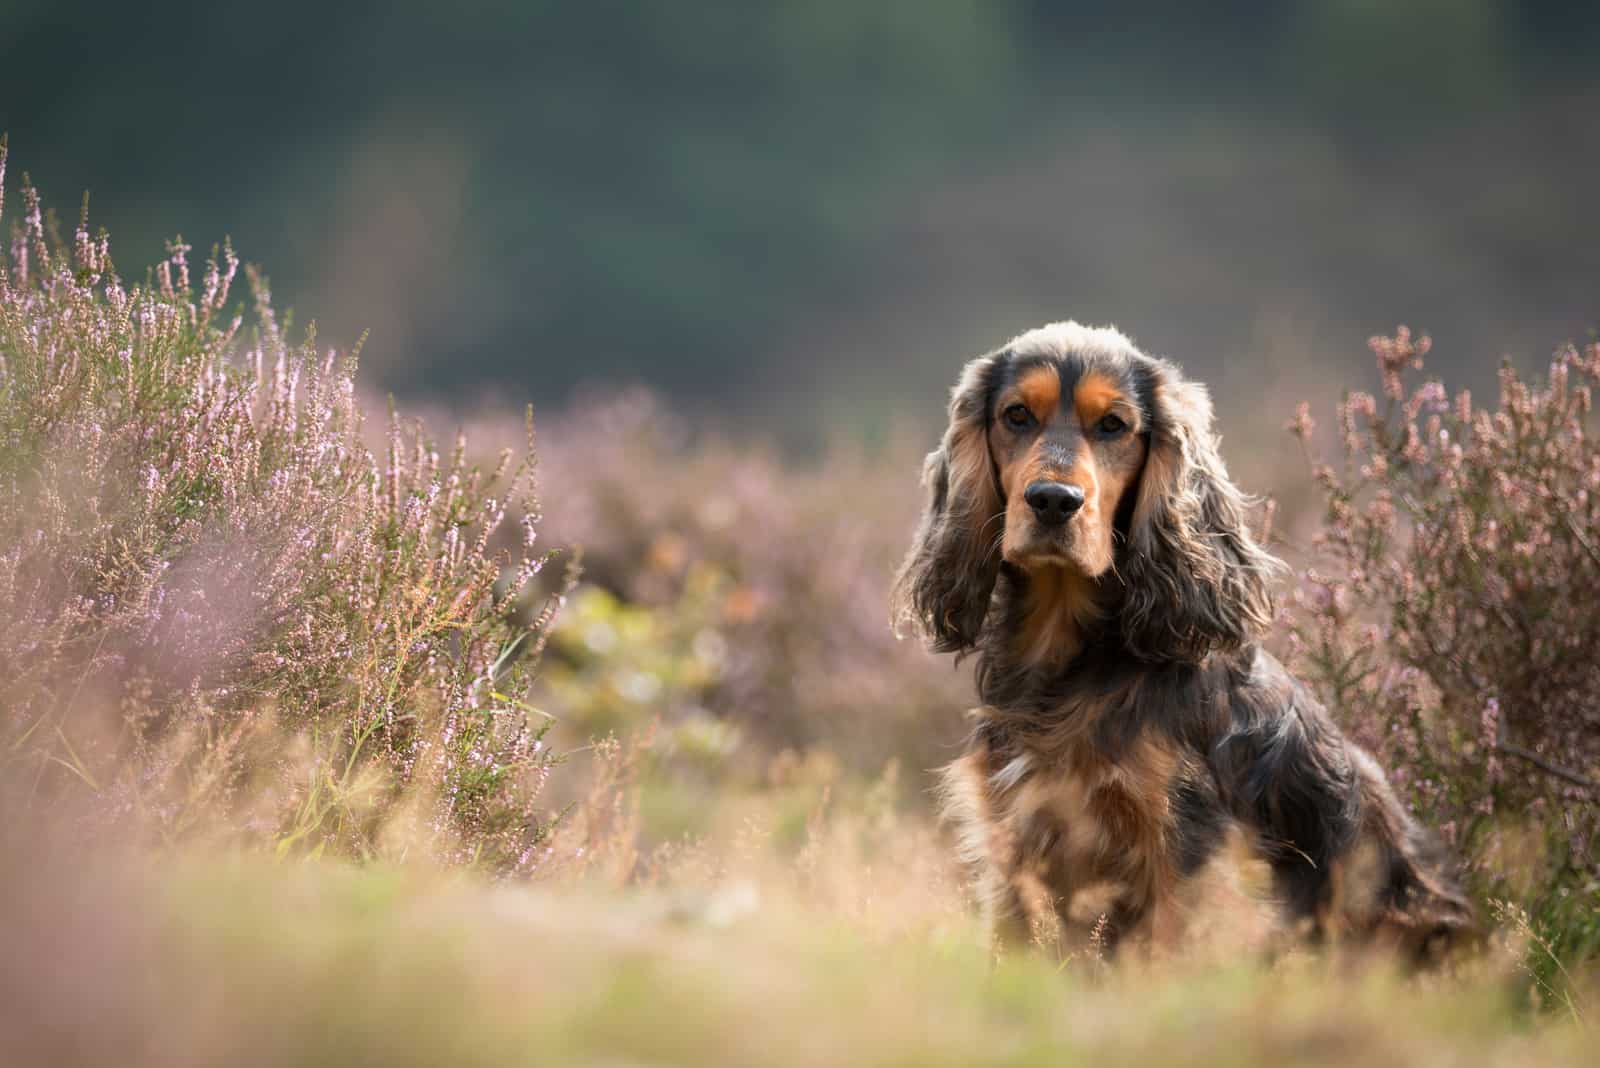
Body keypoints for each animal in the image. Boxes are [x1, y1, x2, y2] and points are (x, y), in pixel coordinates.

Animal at [896, 321, 1465, 965]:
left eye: (1113, 425)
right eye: (1016, 415)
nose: (1053, 500)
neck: (1066, 653)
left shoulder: (1184, 858)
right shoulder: (1014, 852)